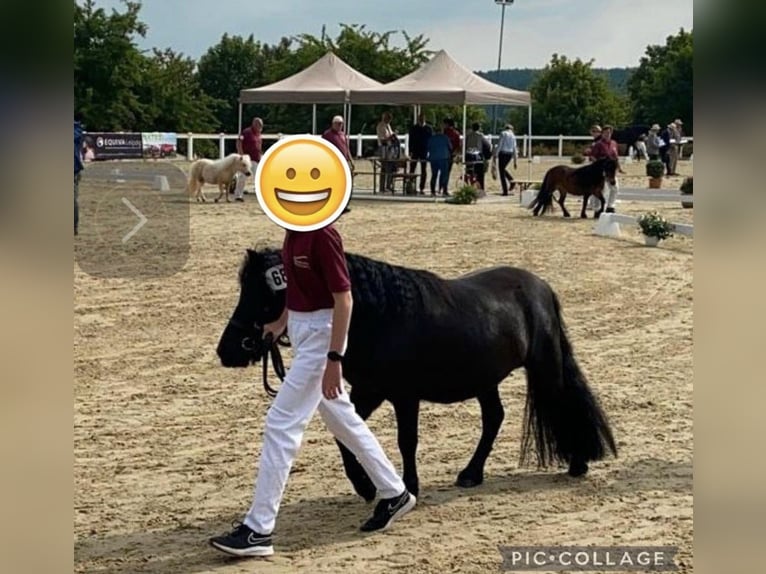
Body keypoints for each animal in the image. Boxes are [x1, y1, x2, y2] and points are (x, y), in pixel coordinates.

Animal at [216, 248, 616, 504]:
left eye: (263, 294)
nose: (227, 350)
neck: (381, 314)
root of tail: (541, 287)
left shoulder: (404, 396)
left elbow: (407, 440)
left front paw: (409, 486)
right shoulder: (369, 391)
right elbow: (348, 438)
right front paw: (366, 487)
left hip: (544, 365)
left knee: (561, 402)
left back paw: (577, 462)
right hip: (485, 379)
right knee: (493, 418)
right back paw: (471, 473)